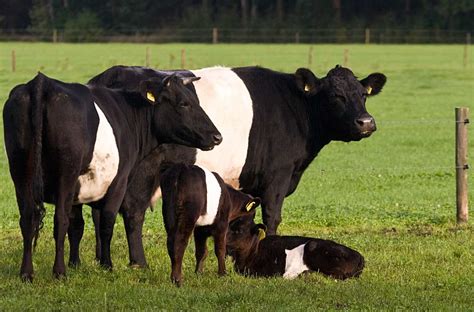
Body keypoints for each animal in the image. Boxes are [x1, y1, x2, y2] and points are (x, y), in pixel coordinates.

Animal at [2, 72, 221, 280]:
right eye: (184, 103)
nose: (217, 136)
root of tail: (42, 82)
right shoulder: (119, 182)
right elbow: (106, 222)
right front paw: (106, 265)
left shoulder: (78, 190)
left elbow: (77, 226)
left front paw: (75, 263)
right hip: (66, 172)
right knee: (59, 219)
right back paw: (59, 272)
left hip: (20, 170)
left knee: (28, 217)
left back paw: (27, 273)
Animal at [80, 64, 386, 266]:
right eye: (336, 96)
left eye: (363, 94)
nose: (366, 122)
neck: (295, 108)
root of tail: (111, 75)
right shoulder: (278, 176)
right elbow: (272, 217)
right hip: (142, 173)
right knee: (133, 212)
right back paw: (138, 263)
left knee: (100, 212)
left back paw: (100, 259)